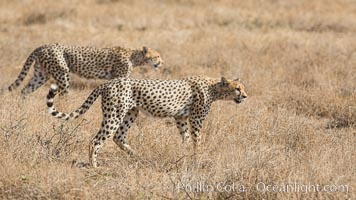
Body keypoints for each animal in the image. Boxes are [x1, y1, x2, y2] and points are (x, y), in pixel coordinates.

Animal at [7, 42, 163, 95]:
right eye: (157, 56)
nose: (162, 63)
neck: (134, 56)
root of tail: (43, 46)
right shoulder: (119, 77)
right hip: (62, 73)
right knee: (63, 94)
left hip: (41, 75)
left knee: (25, 90)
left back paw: (22, 107)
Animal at [46, 75, 248, 167]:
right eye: (237, 88)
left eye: (243, 88)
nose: (245, 96)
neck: (215, 88)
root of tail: (109, 82)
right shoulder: (195, 119)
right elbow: (197, 140)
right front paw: (198, 157)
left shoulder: (180, 117)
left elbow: (186, 139)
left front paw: (184, 154)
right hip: (114, 115)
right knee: (96, 140)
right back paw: (94, 166)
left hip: (130, 113)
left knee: (118, 137)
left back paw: (138, 156)